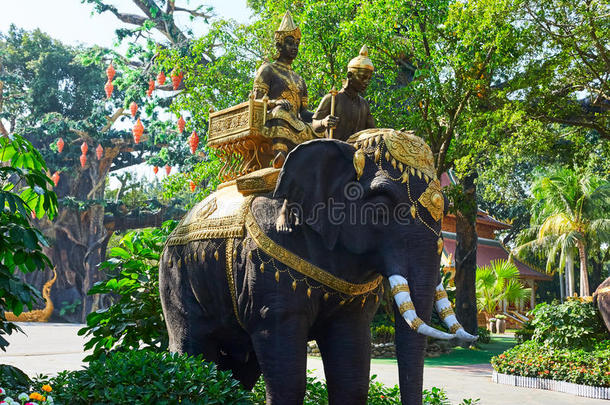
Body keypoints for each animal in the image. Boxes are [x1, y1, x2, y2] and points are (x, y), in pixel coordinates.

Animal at [159, 129, 472, 404]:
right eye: (382, 206)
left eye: (445, 208)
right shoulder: (265, 271)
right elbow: (287, 376)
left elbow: (352, 374)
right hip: (176, 278)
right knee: (191, 351)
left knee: (241, 370)